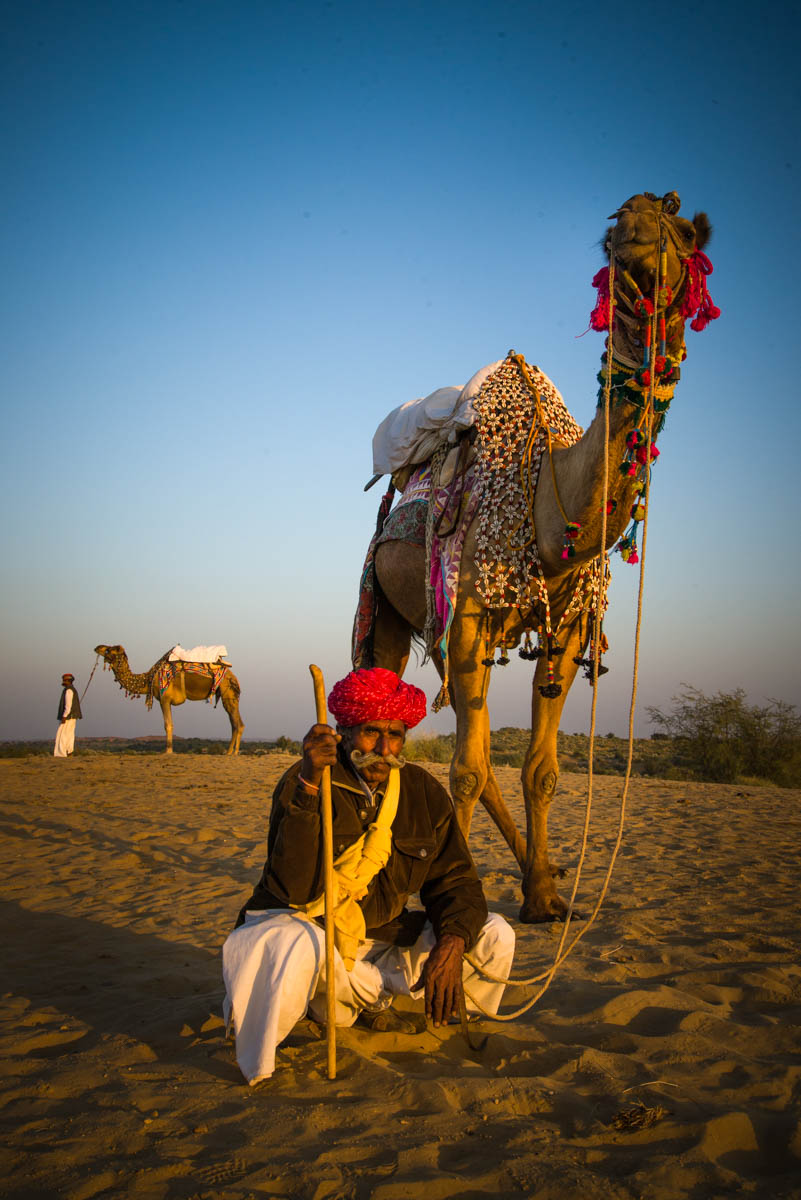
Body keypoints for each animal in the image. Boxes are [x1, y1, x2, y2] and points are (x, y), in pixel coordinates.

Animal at [92, 643, 244, 753]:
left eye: (109, 649)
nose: (97, 647)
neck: (149, 678)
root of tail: (233, 676)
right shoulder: (167, 701)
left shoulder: (164, 698)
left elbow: (168, 725)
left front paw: (168, 751)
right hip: (229, 695)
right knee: (237, 723)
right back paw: (232, 752)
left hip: (227, 692)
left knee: (236, 724)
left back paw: (231, 753)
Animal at [352, 189, 714, 916]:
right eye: (610, 236)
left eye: (685, 234)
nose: (635, 231)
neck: (551, 509)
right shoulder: (466, 614)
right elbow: (465, 769)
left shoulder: (567, 627)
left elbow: (540, 769)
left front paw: (544, 898)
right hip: (388, 608)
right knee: (404, 712)